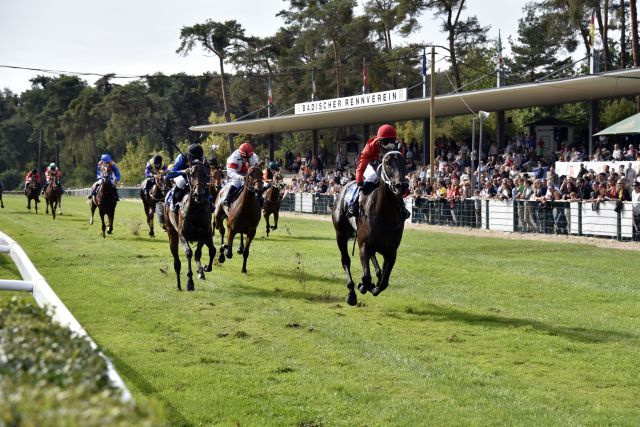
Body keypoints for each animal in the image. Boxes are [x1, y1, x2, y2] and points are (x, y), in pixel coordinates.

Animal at [164, 162, 216, 292]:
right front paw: (189, 282)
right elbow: (188, 253)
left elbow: (198, 253)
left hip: (208, 235)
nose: (198, 195)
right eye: (191, 174)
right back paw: (179, 286)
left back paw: (202, 270)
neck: (196, 209)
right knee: (176, 262)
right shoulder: (182, 234)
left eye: (206, 175)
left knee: (212, 250)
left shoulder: (203, 234)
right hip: (172, 234)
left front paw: (203, 269)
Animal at [332, 152, 408, 306]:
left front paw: (375, 287)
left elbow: (384, 282)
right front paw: (362, 286)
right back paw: (351, 293)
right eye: (387, 162)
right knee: (346, 260)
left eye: (404, 162)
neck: (385, 214)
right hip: (340, 234)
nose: (401, 185)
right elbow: (366, 276)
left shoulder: (391, 252)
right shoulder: (364, 245)